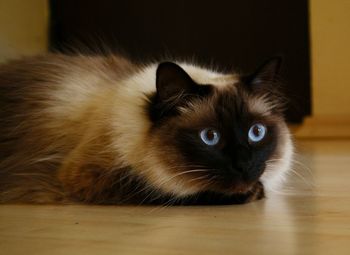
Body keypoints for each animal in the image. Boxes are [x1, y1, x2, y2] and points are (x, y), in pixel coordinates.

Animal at [0, 53, 292, 205]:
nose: (243, 165)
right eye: (210, 137)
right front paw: (252, 193)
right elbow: (166, 192)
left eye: (256, 132)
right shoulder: (86, 176)